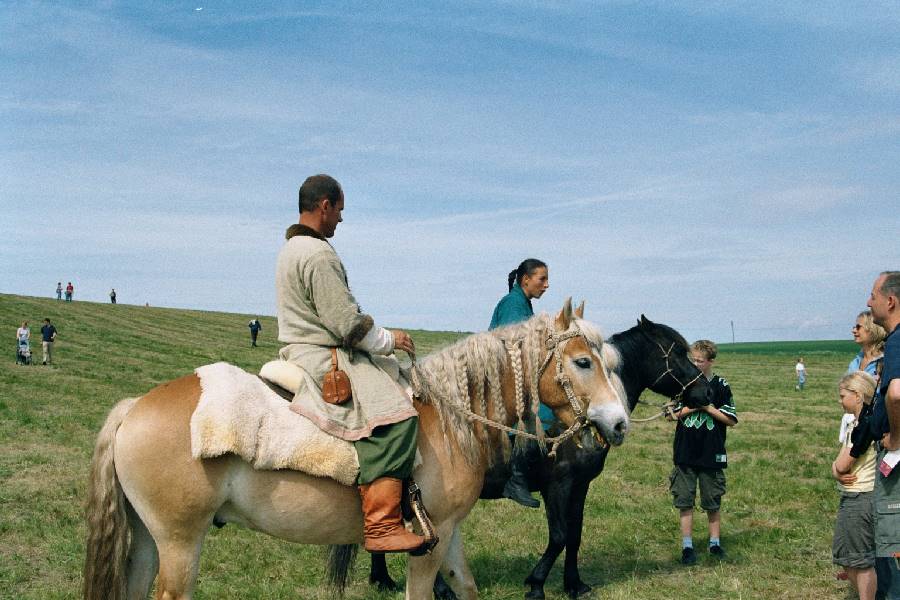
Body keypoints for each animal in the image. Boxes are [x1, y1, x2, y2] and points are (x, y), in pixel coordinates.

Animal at [86, 300, 632, 600]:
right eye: (583, 362)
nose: (619, 423)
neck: (449, 418)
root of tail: (133, 408)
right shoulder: (429, 539)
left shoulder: (450, 530)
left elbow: (466, 587)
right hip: (180, 541)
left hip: (149, 540)